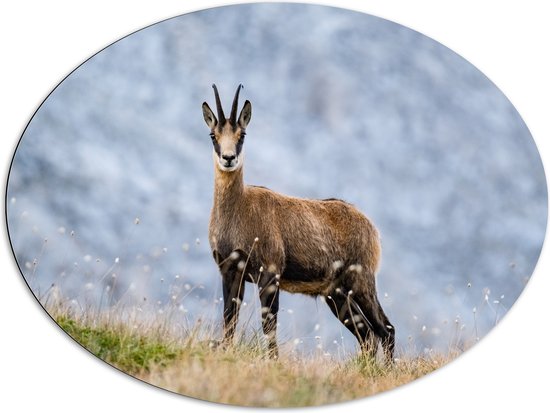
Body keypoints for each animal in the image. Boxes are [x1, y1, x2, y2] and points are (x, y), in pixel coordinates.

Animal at [203, 84, 396, 360]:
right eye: (213, 135)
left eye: (242, 134)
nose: (228, 158)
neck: (240, 210)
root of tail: (371, 227)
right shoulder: (230, 270)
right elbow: (230, 319)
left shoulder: (270, 272)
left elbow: (269, 325)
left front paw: (273, 361)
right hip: (336, 294)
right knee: (368, 335)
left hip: (361, 281)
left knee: (385, 329)